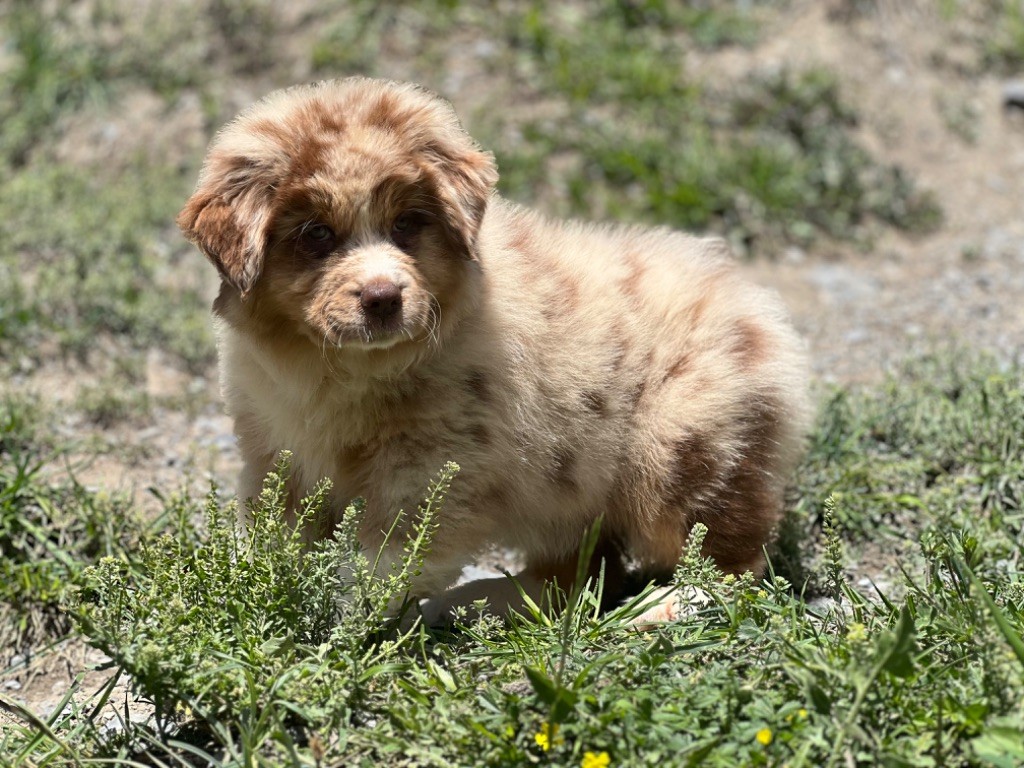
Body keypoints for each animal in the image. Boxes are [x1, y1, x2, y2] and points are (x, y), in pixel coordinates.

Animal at [180, 75, 811, 622]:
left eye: (407, 223)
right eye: (316, 235)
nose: (383, 298)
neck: (342, 368)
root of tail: (757, 308)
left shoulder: (430, 467)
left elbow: (390, 559)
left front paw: (342, 615)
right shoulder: (274, 448)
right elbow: (281, 534)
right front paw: (266, 592)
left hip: (680, 442)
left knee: (731, 559)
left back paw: (659, 609)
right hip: (580, 484)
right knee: (579, 572)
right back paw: (484, 601)